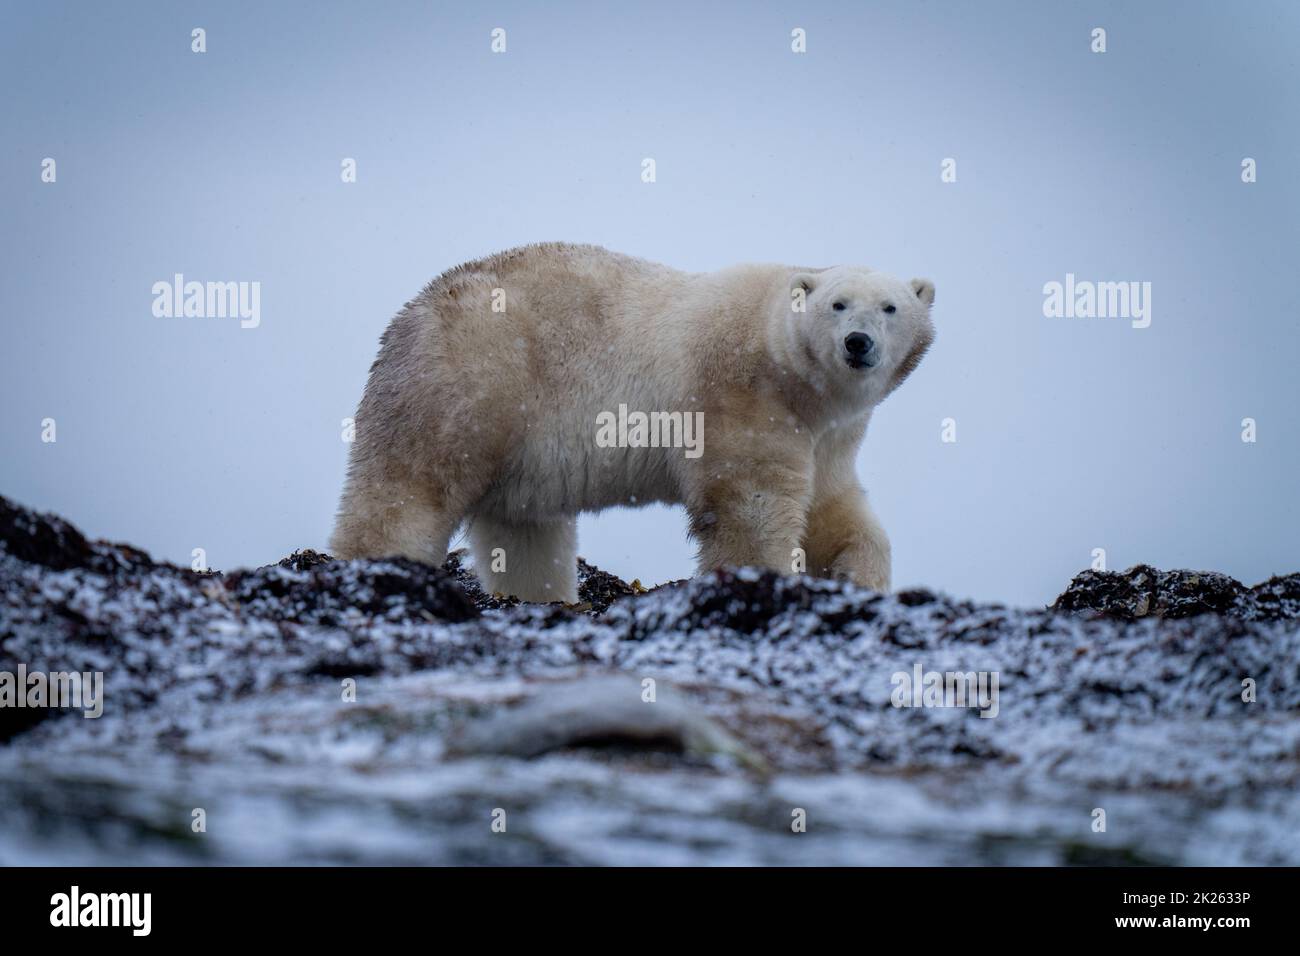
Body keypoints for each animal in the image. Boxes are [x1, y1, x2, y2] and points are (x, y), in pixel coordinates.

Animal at [325, 243, 935, 600]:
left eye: (891, 307)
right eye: (838, 304)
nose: (858, 343)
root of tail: (409, 314)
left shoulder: (832, 435)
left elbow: (834, 508)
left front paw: (860, 578)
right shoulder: (742, 397)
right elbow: (751, 506)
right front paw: (760, 577)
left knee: (525, 530)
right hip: (466, 384)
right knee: (407, 490)